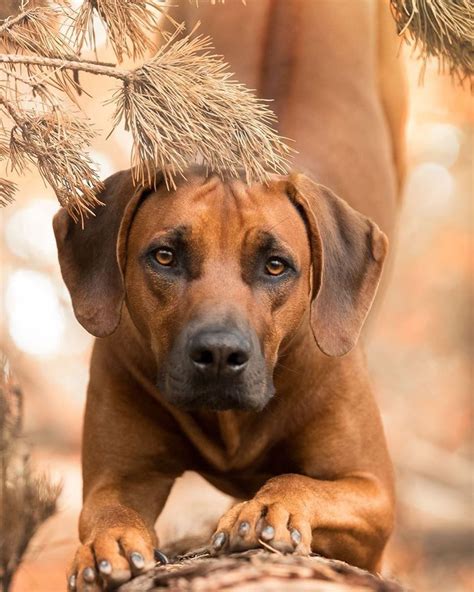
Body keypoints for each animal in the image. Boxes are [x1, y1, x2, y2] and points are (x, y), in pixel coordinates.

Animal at [52, 1, 408, 592]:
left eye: (275, 265)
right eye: (165, 256)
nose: (219, 355)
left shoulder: (371, 493)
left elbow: (296, 480)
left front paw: (266, 509)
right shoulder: (119, 471)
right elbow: (104, 507)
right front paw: (107, 545)